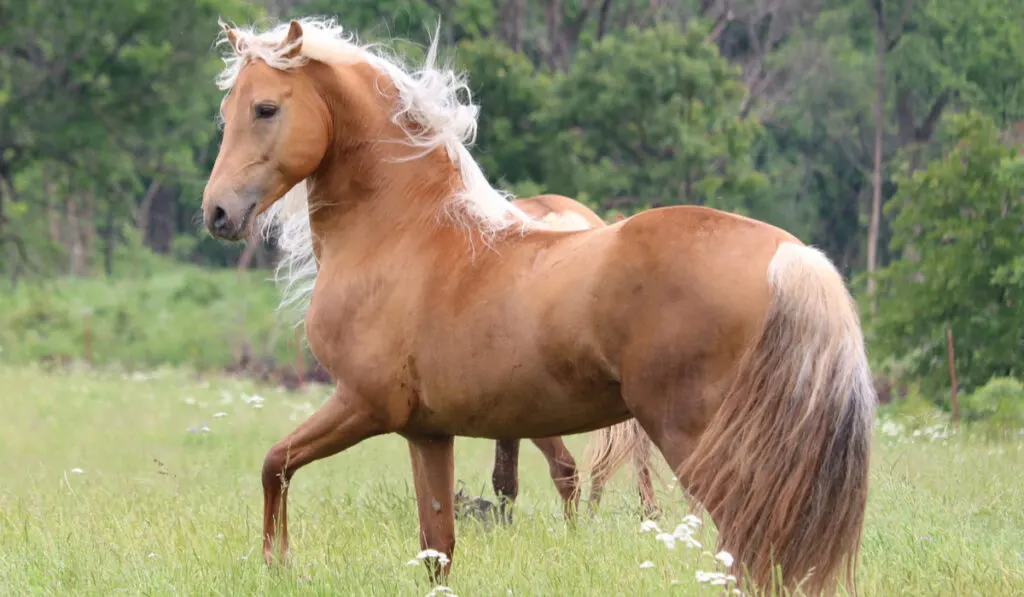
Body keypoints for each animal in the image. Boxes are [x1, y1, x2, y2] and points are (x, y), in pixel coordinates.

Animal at [203, 17, 876, 593]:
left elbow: (274, 465)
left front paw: (277, 567)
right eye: (227, 111)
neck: (404, 234)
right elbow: (437, 547)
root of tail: (790, 256)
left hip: (696, 440)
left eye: (266, 108)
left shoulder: (362, 404)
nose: (218, 213)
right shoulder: (428, 432)